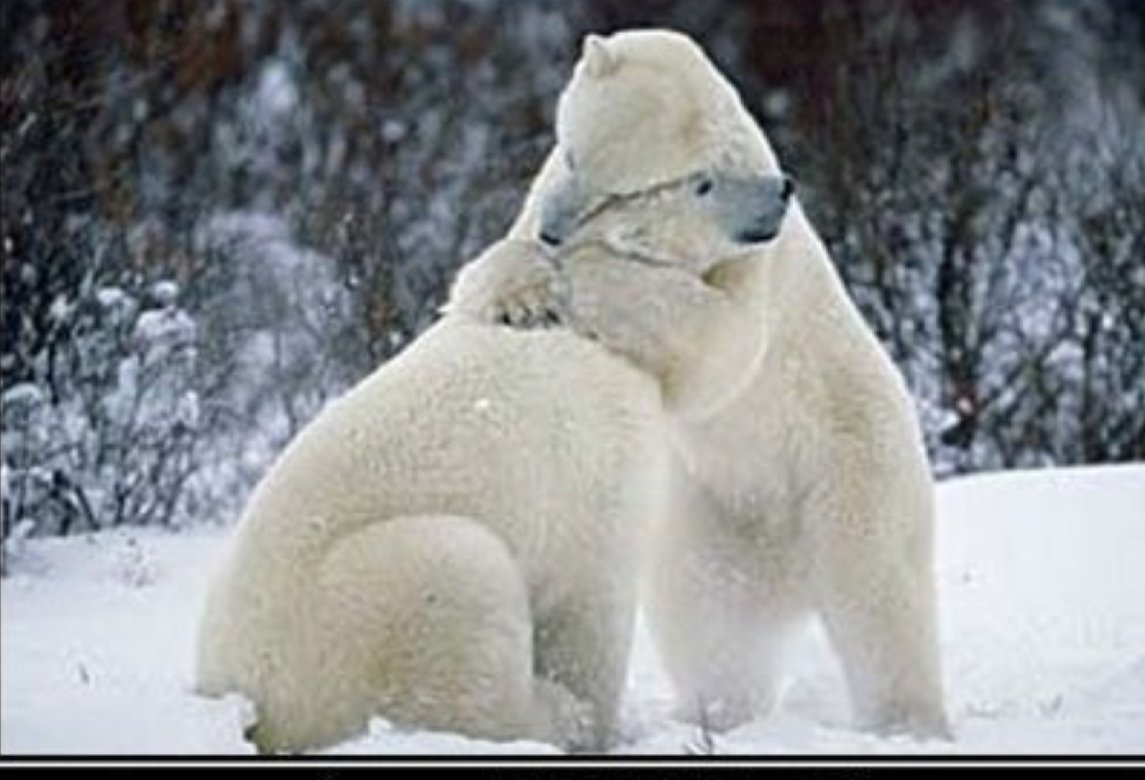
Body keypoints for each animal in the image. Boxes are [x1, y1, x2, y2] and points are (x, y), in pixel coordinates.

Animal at [457, 28, 951, 738]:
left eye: (619, 193)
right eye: (572, 153)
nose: (554, 230)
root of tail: (789, 571)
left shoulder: (753, 258)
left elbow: (719, 348)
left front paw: (583, 275)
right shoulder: (541, 193)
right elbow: (491, 258)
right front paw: (517, 290)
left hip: (853, 471)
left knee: (880, 597)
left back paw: (907, 723)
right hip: (708, 523)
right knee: (713, 626)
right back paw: (715, 714)